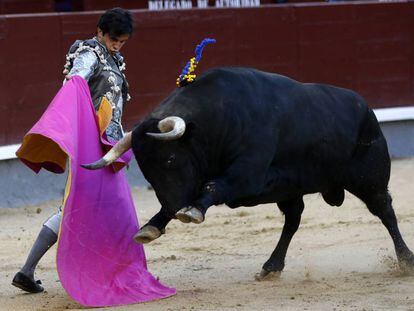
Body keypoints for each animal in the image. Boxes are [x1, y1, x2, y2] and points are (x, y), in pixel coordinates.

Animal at [82, 67, 412, 278]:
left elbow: (213, 187)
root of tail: (366, 109)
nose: (174, 208)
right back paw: (272, 266)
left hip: (370, 179)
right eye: (146, 171)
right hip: (292, 191)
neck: (219, 118)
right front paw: (152, 225)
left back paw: (406, 260)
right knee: (293, 220)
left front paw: (190, 212)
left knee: (385, 212)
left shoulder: (247, 173)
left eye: (171, 159)